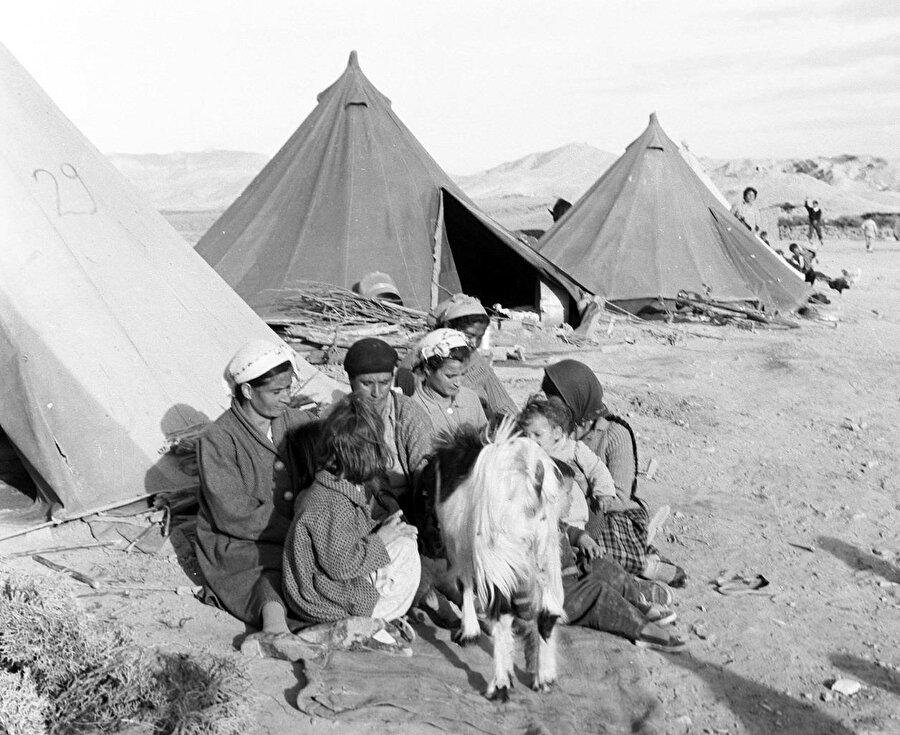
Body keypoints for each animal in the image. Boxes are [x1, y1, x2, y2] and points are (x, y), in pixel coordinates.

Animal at [430, 420, 568, 700]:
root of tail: (531, 472)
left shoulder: (464, 549)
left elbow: (465, 585)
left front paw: (468, 633)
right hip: (546, 550)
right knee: (548, 612)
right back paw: (543, 679)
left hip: (496, 553)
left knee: (502, 612)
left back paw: (500, 684)